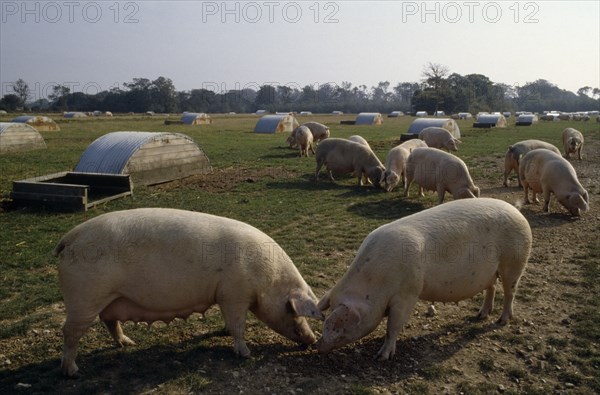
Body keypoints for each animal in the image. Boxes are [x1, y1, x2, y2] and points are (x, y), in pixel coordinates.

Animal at [54, 207, 326, 378]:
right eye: (292, 310)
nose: (312, 340)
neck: (268, 279)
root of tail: (67, 239)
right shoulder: (235, 294)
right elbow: (239, 325)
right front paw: (246, 355)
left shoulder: (225, 296)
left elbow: (230, 322)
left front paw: (223, 332)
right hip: (84, 297)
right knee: (70, 331)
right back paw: (72, 372)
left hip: (108, 297)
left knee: (109, 321)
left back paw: (128, 343)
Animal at [316, 200, 532, 360]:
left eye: (339, 328)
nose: (318, 346)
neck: (374, 282)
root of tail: (517, 211)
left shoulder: (408, 293)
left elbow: (393, 326)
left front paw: (381, 357)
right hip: (491, 272)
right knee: (491, 287)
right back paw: (480, 315)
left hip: (515, 261)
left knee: (510, 292)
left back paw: (501, 321)